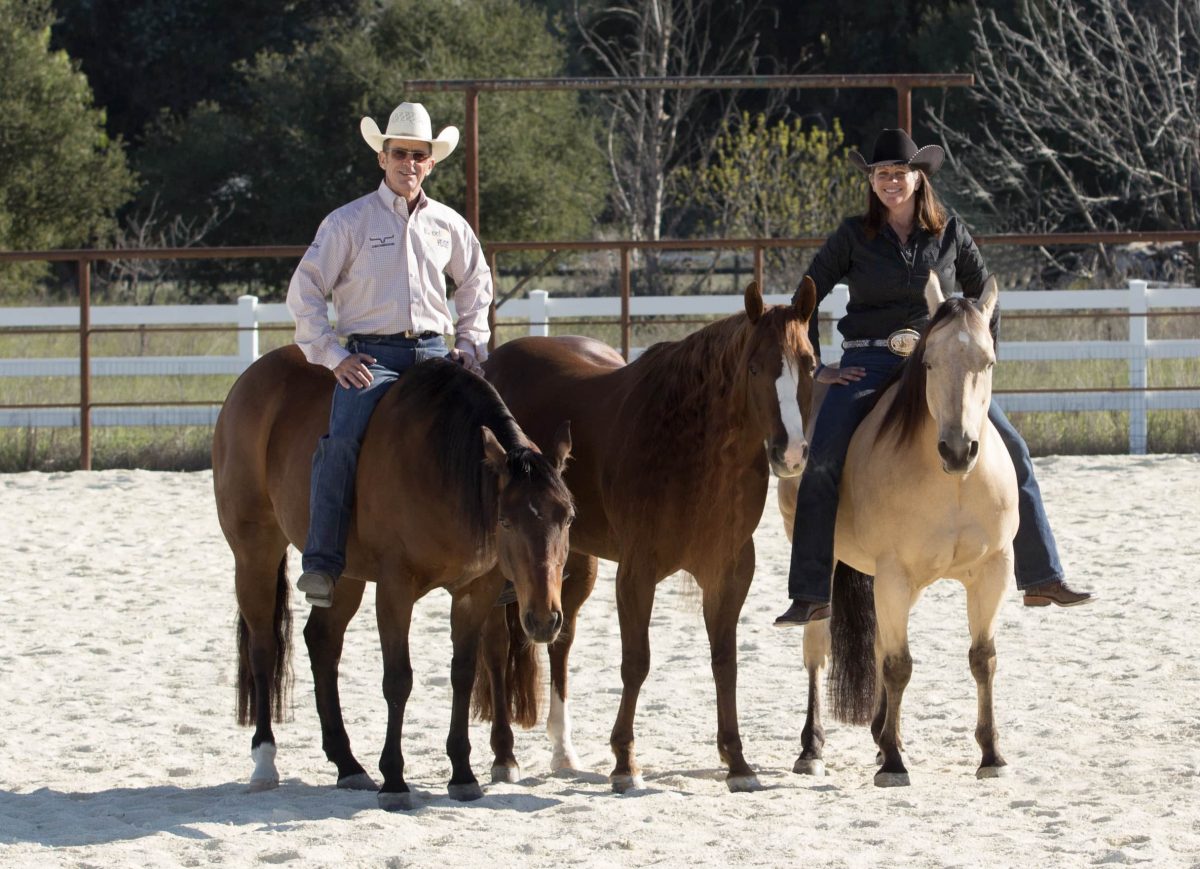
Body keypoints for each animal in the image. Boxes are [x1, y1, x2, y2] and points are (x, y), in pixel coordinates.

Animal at [213, 345, 573, 806]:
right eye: (506, 521)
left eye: (567, 517)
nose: (545, 620)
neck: (443, 463)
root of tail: (252, 378)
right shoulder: (395, 589)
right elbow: (398, 679)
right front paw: (395, 780)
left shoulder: (476, 591)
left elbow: (462, 672)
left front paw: (462, 774)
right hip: (254, 550)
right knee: (263, 648)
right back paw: (264, 761)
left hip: (344, 576)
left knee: (322, 642)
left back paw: (347, 763)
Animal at [472, 282, 820, 792]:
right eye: (756, 367)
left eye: (810, 363)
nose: (791, 453)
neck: (689, 443)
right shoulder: (637, 573)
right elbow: (636, 660)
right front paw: (624, 761)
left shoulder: (730, 572)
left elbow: (725, 661)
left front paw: (737, 761)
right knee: (497, 647)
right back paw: (504, 754)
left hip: (572, 562)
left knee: (560, 641)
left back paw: (563, 751)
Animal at [772, 276, 1017, 787]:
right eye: (928, 362)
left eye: (987, 361)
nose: (958, 449)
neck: (954, 485)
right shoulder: (893, 575)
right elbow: (899, 664)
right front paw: (894, 765)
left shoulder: (992, 571)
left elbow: (981, 658)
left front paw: (991, 754)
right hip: (826, 570)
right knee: (817, 648)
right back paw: (812, 748)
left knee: (880, 643)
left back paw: (886, 734)